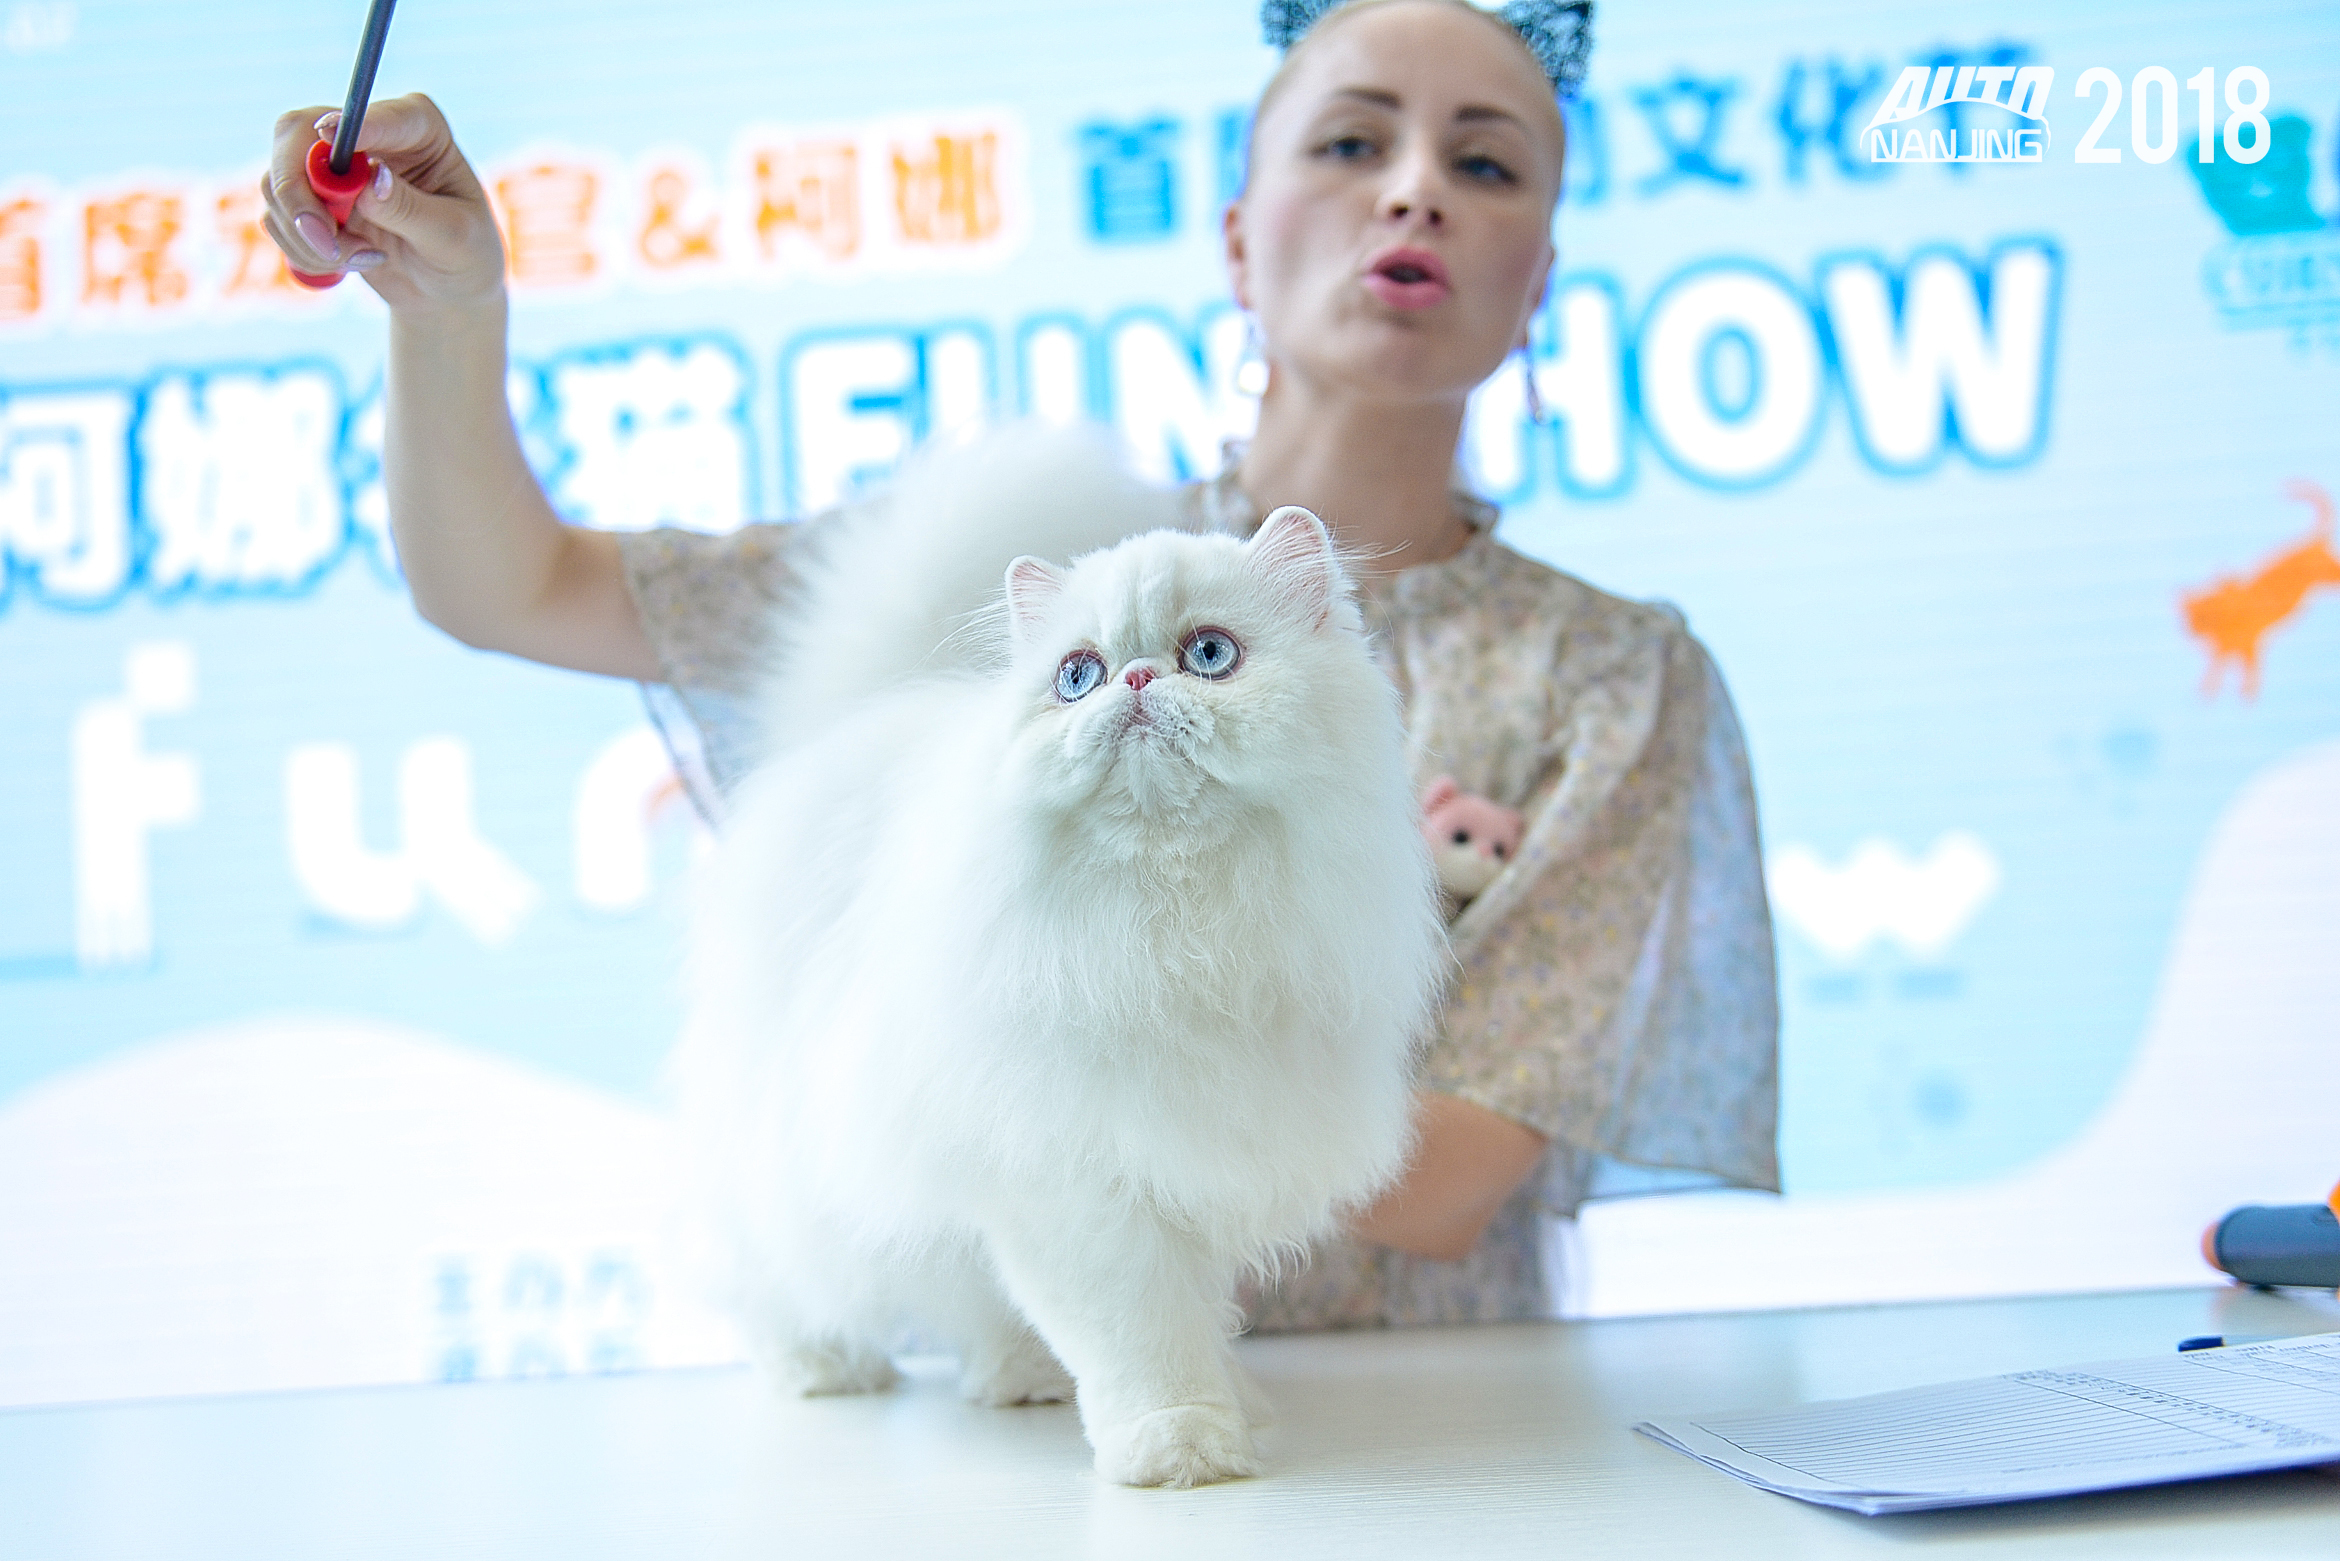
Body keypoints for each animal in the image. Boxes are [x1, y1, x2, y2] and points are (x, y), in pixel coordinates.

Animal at [671, 427, 1447, 1488]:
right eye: (1078, 675)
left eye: (1209, 654)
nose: (1134, 681)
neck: (1176, 918)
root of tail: (861, 722)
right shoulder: (1074, 1180)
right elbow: (1143, 1337)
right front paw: (1182, 1446)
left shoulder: (1196, 1153)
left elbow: (1197, 1313)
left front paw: (1239, 1410)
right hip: (784, 1162)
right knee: (776, 1279)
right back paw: (824, 1368)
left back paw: (1022, 1378)